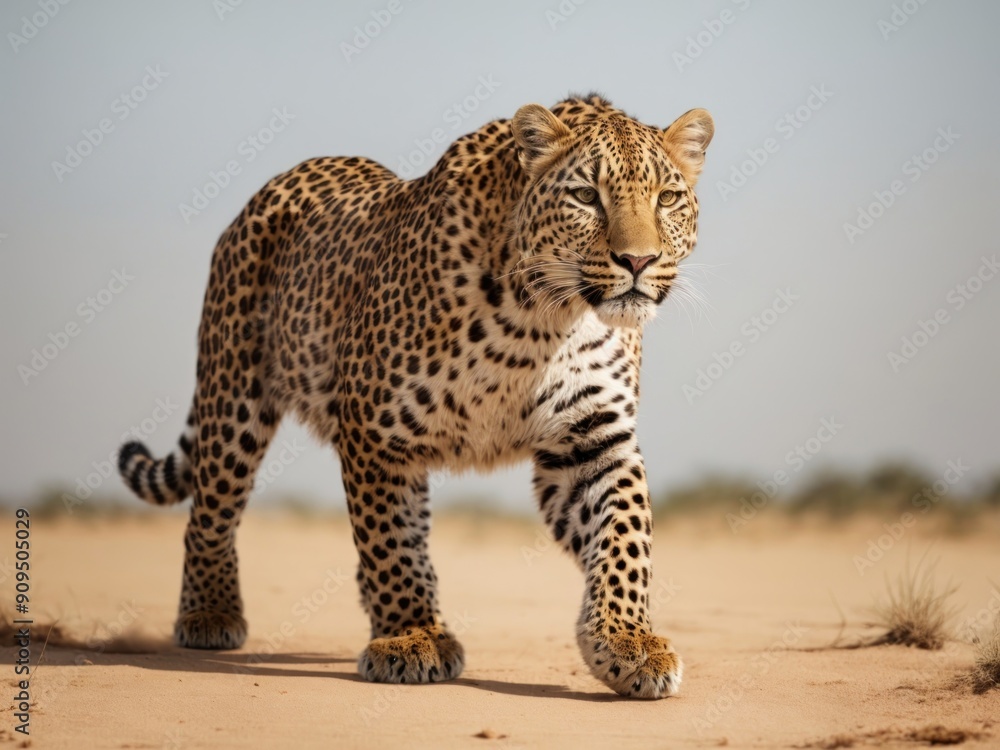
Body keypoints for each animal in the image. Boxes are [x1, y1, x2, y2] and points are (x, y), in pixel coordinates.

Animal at [117, 93, 713, 699]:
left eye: (666, 198)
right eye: (586, 196)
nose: (638, 262)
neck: (542, 323)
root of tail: (275, 184)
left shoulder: (592, 441)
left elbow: (625, 537)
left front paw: (626, 641)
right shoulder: (374, 431)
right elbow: (388, 541)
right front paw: (410, 636)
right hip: (233, 395)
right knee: (212, 508)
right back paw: (209, 614)